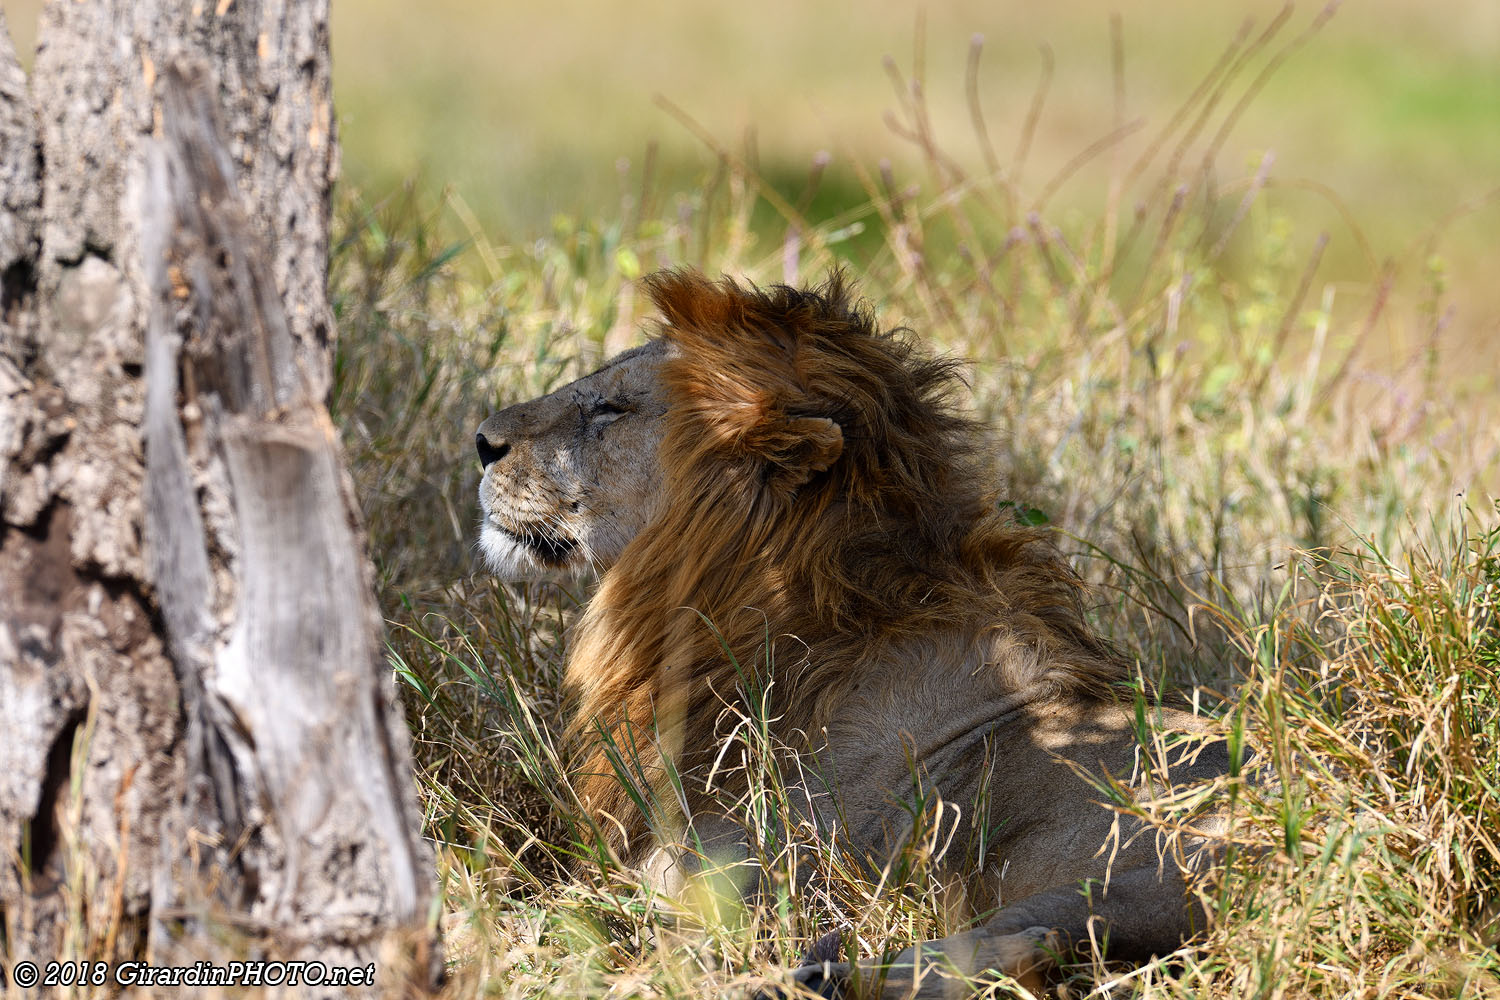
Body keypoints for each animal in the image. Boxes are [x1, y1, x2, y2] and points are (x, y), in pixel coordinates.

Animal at [475, 269, 1230, 998]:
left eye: (610, 408)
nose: (480, 442)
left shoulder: (737, 871)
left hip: (1108, 880)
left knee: (998, 953)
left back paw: (800, 978)